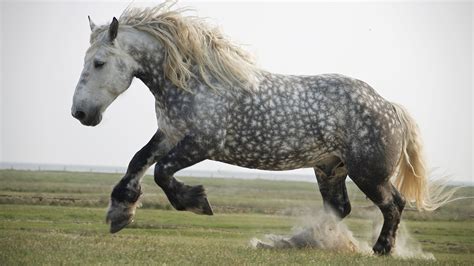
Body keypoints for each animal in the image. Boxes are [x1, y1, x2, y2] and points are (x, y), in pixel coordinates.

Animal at [71, 3, 452, 255]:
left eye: (99, 63)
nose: (80, 113)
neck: (193, 81)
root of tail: (389, 106)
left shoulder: (201, 143)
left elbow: (162, 173)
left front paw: (197, 201)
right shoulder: (171, 134)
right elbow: (138, 161)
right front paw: (120, 213)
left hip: (368, 172)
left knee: (393, 204)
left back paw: (381, 249)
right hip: (330, 169)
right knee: (339, 208)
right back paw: (294, 242)